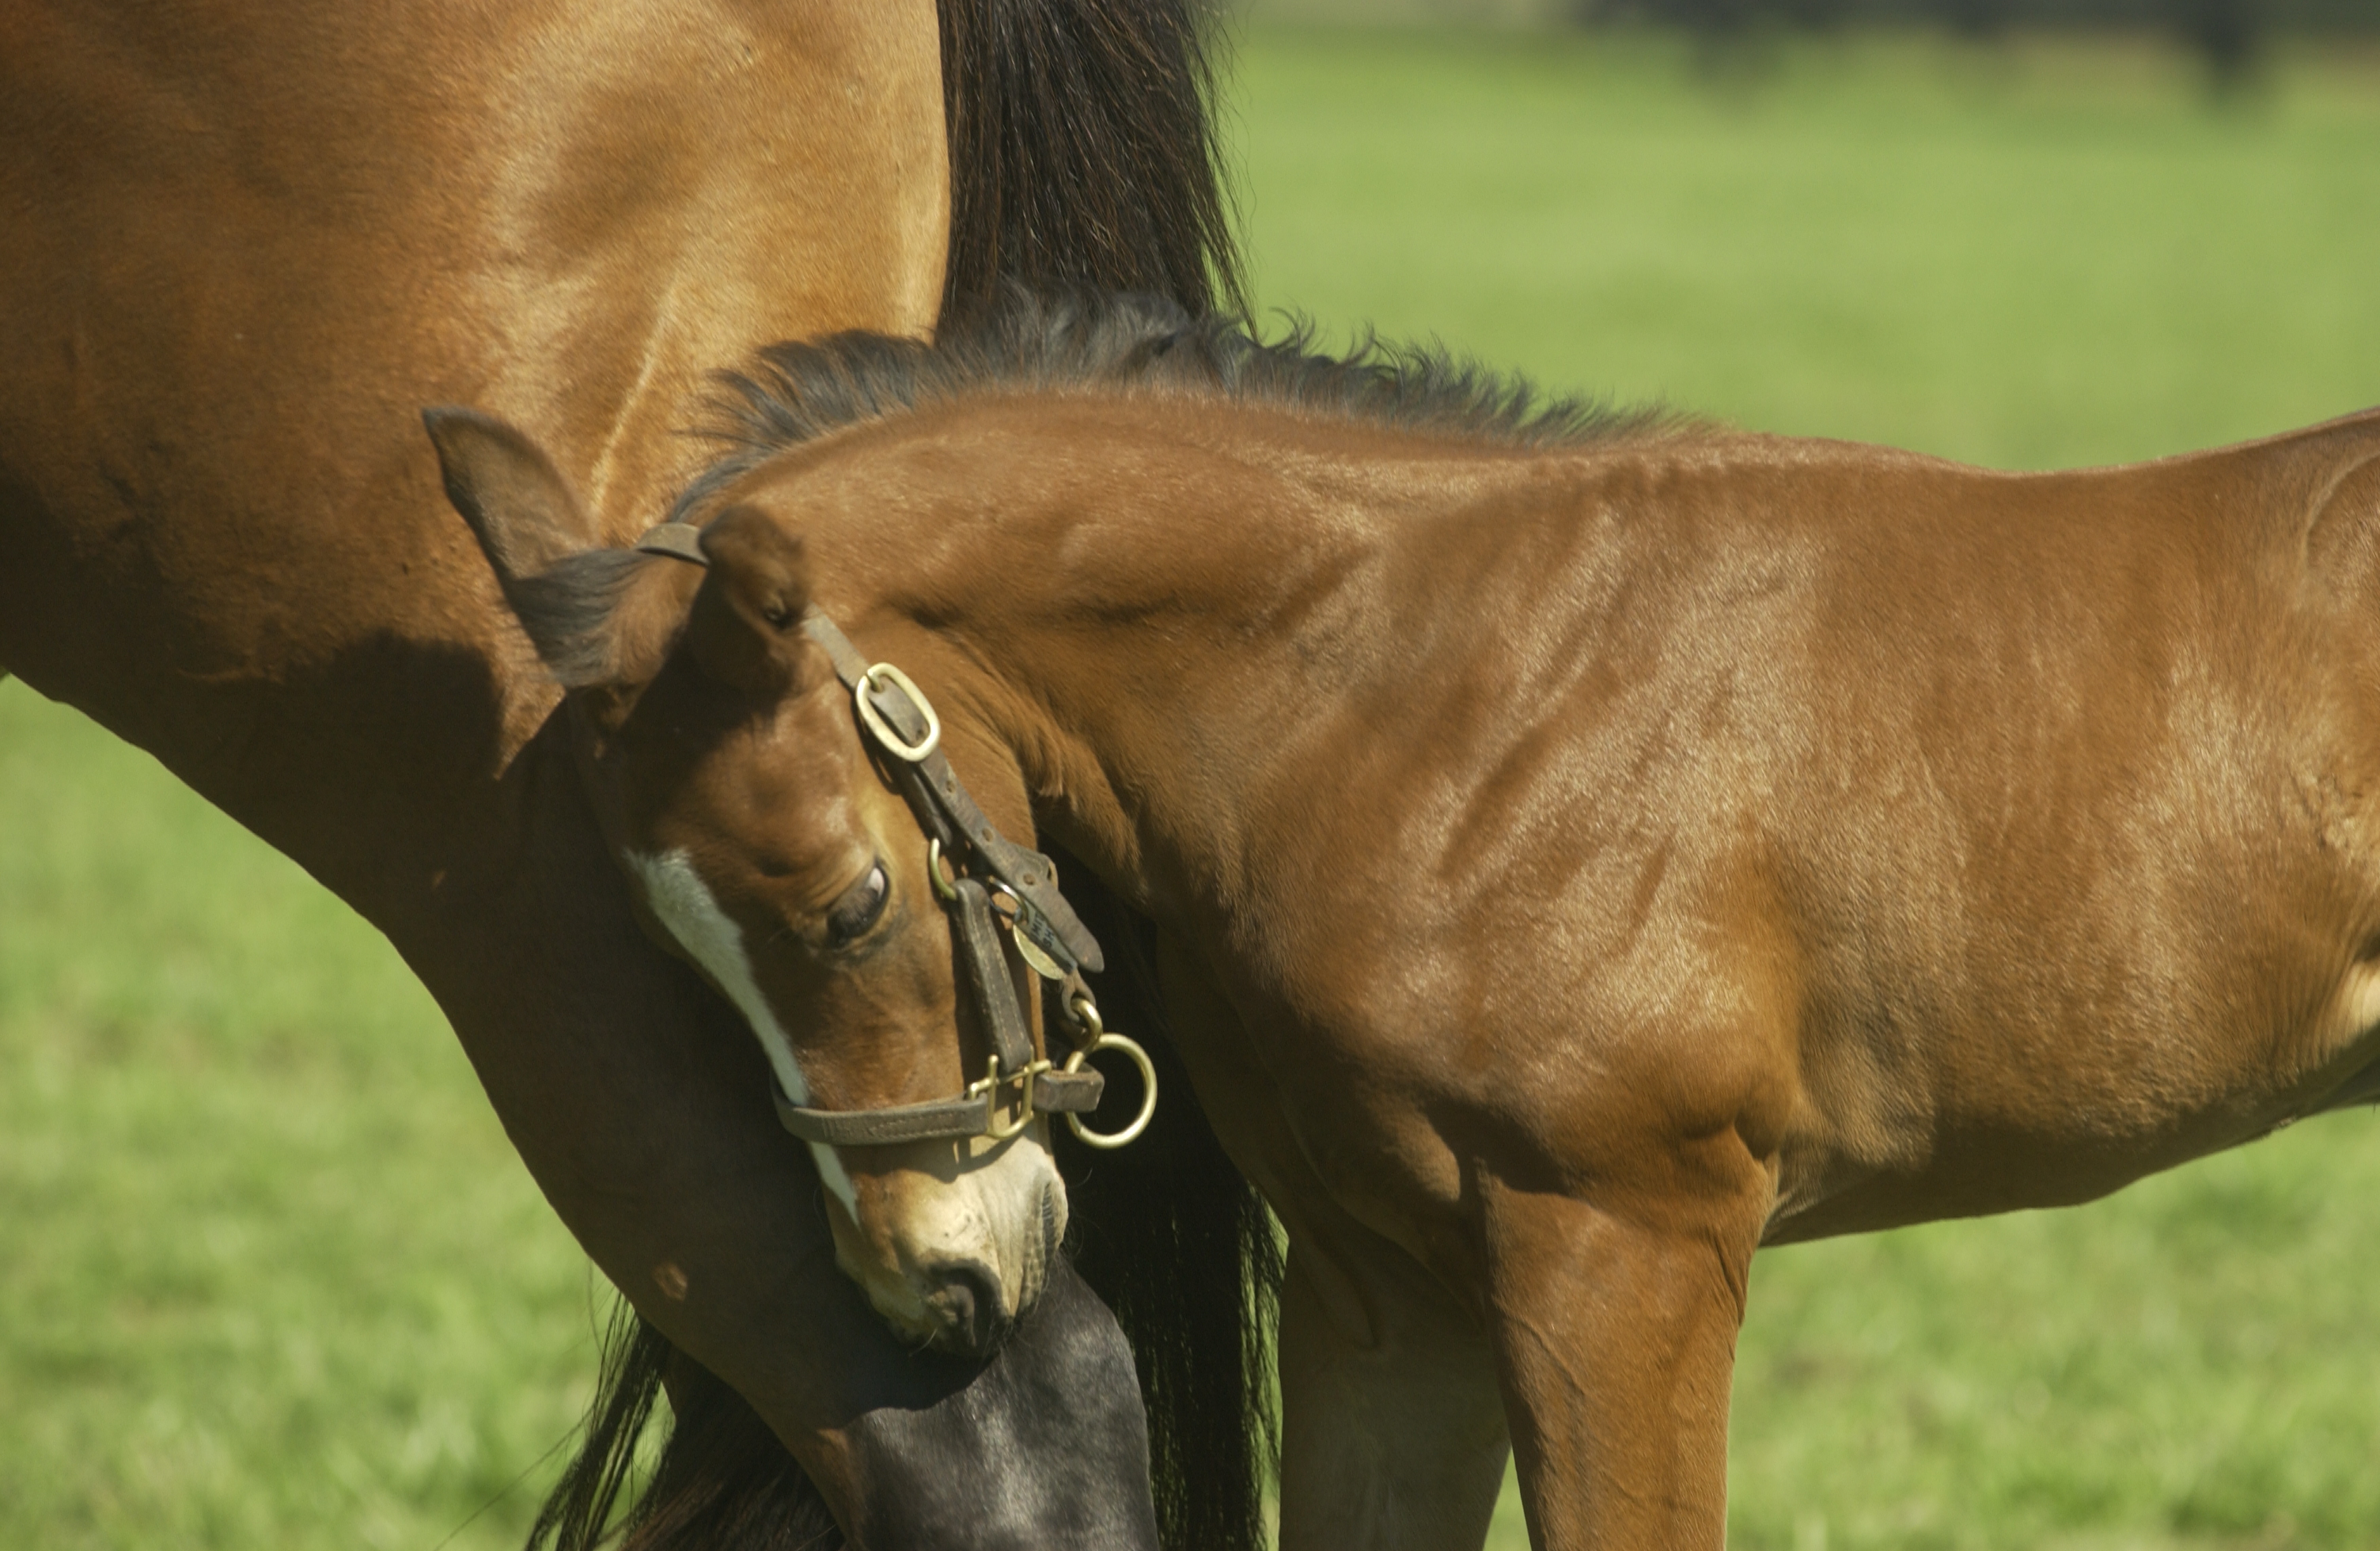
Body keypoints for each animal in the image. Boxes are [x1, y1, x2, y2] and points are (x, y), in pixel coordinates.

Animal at [433, 294, 2380, 1551]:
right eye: (665, 957)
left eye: (844, 906)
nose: (930, 1274)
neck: (1426, 694)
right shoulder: (1386, 1290)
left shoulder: (1629, 1246)